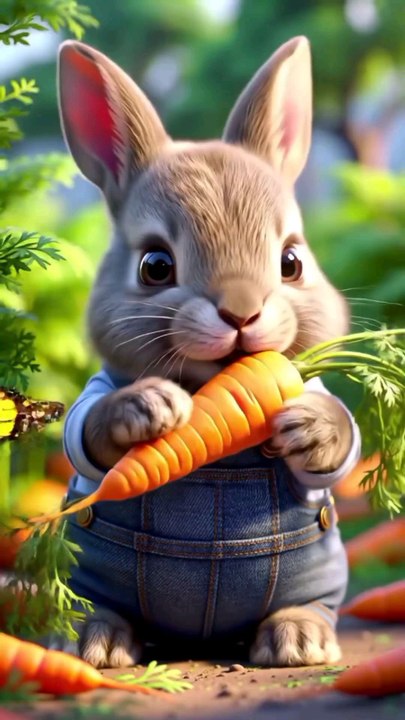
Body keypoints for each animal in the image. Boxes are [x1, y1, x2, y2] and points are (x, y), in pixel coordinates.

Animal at [55, 36, 361, 669]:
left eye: (291, 261)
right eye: (155, 265)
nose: (241, 311)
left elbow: (343, 437)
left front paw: (309, 426)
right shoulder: (96, 393)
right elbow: (85, 424)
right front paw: (149, 408)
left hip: (321, 570)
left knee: (313, 605)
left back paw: (298, 642)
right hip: (85, 571)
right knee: (92, 604)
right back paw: (97, 644)